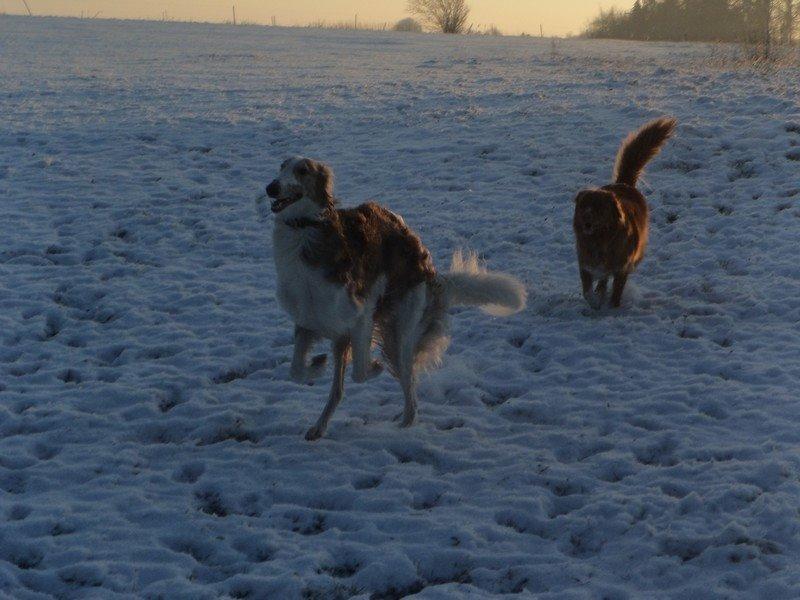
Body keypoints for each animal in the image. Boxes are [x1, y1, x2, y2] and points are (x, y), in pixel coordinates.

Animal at [260, 157, 528, 440]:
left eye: (302, 171)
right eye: (281, 167)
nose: (271, 188)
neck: (304, 234)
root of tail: (430, 272)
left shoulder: (360, 315)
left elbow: (361, 372)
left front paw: (373, 366)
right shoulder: (308, 319)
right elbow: (296, 371)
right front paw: (317, 364)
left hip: (398, 335)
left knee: (409, 389)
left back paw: (405, 425)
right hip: (365, 336)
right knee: (339, 391)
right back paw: (319, 426)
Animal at [572, 117, 680, 310]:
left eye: (599, 207)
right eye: (583, 206)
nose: (586, 219)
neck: (600, 241)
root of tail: (624, 184)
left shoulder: (622, 268)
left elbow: (616, 292)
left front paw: (611, 307)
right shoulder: (585, 266)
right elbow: (587, 292)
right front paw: (595, 302)